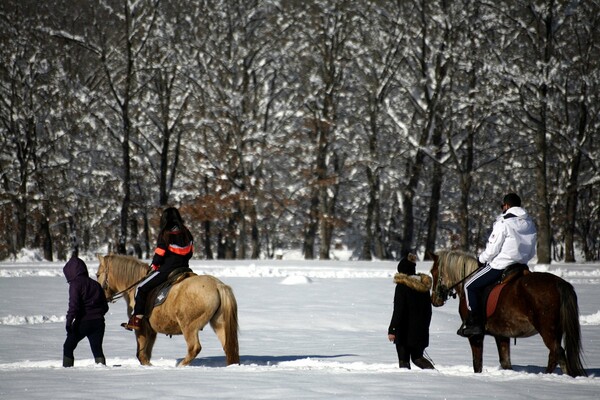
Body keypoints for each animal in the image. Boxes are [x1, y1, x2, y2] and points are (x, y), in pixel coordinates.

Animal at [96, 255, 239, 368]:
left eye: (97, 275)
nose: (102, 298)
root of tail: (218, 285)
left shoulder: (141, 328)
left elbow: (141, 355)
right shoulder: (151, 331)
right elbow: (146, 353)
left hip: (189, 327)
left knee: (194, 348)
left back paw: (180, 366)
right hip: (219, 323)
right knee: (228, 347)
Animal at [432, 248, 584, 376]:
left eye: (433, 271)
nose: (434, 300)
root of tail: (559, 283)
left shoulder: (475, 336)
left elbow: (477, 364)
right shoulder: (502, 335)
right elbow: (506, 363)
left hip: (547, 330)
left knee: (556, 353)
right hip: (556, 331)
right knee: (558, 355)